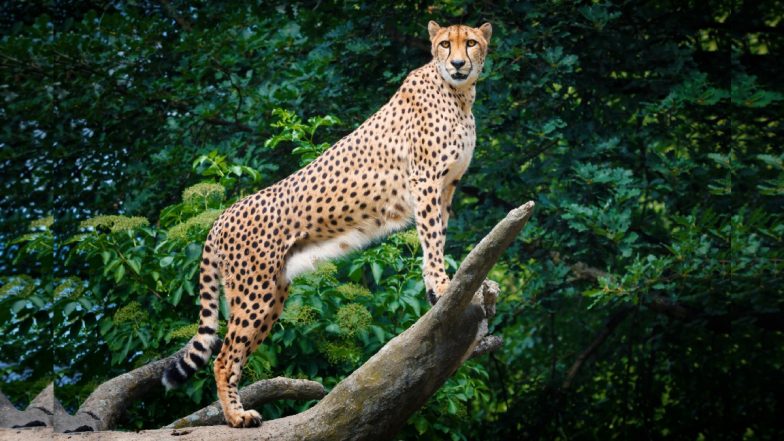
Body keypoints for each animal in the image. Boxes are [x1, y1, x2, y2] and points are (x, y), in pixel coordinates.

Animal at [162, 21, 493, 428]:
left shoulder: (446, 187)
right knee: (223, 358)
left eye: (471, 43)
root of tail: (222, 215)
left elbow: (437, 236)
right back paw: (237, 418)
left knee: (234, 354)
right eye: (446, 44)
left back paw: (237, 412)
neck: (459, 94)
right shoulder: (426, 182)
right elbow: (432, 238)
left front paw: (438, 285)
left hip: (272, 294)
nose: (459, 64)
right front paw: (441, 285)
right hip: (254, 293)